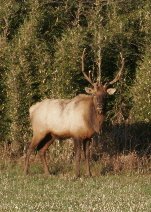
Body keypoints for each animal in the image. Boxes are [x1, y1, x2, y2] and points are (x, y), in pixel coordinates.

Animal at [24, 49, 124, 177]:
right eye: (94, 95)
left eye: (105, 96)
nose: (100, 107)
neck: (90, 121)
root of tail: (31, 109)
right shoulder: (76, 134)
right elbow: (78, 156)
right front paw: (76, 174)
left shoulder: (88, 137)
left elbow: (87, 156)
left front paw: (89, 174)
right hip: (38, 130)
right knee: (29, 148)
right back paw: (25, 172)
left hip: (51, 135)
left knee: (41, 150)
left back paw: (48, 173)